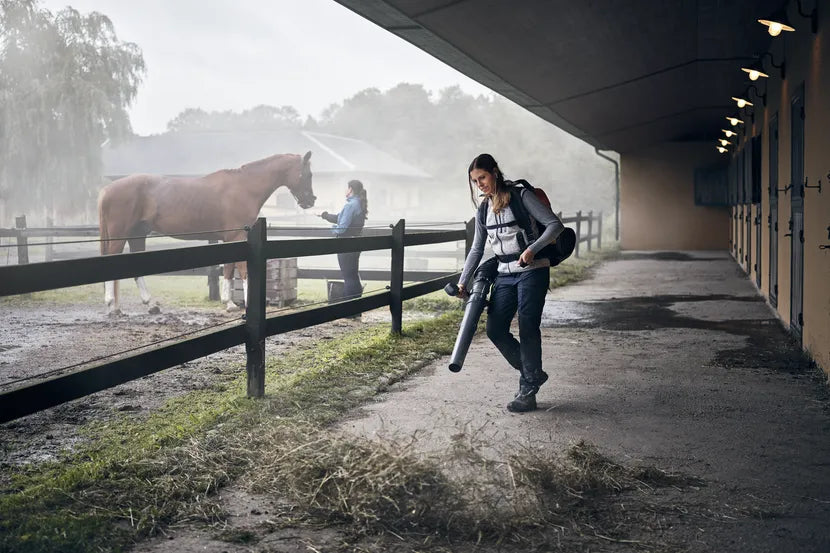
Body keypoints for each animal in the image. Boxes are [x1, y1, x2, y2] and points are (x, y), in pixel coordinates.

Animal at [97, 151, 316, 314]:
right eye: (308, 174)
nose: (311, 201)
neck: (244, 188)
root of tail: (107, 190)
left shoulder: (231, 239)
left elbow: (229, 269)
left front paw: (229, 303)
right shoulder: (237, 236)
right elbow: (241, 268)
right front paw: (242, 302)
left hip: (137, 234)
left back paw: (149, 305)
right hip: (120, 235)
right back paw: (112, 305)